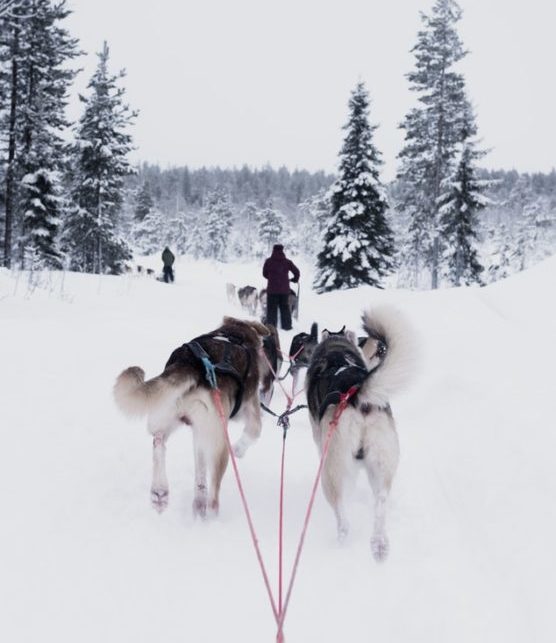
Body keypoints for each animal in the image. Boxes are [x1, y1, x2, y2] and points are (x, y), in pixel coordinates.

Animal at [113, 316, 270, 520]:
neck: (235, 333)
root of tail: (189, 364)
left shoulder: (199, 433)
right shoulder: (250, 409)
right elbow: (254, 431)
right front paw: (239, 449)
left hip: (168, 414)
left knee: (159, 443)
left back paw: (161, 493)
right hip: (219, 442)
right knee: (213, 494)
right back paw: (211, 515)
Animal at [306, 310, 414, 560]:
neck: (337, 350)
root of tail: (358, 394)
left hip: (331, 469)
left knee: (342, 514)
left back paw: (342, 539)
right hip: (381, 463)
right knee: (380, 502)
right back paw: (379, 544)